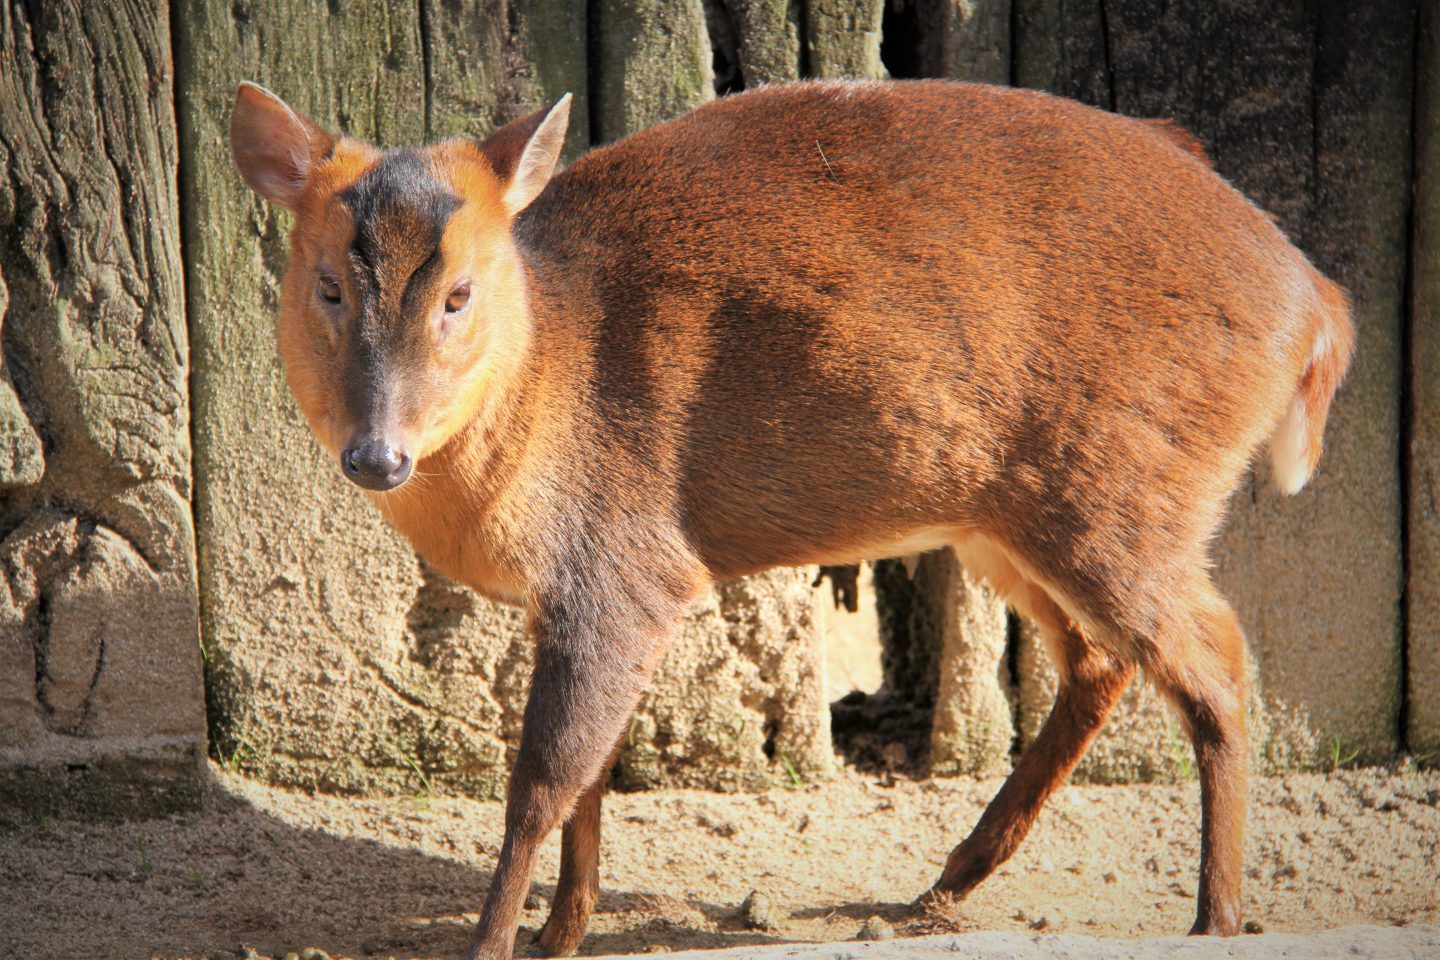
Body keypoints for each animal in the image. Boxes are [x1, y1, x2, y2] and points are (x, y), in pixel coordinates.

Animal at [233, 78, 1347, 955]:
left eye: (460, 293)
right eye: (327, 285)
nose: (377, 454)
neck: (544, 376)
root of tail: (1318, 303)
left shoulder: (627, 560)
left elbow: (545, 779)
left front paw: (498, 945)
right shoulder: (577, 599)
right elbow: (593, 776)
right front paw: (562, 935)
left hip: (1123, 486)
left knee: (1218, 660)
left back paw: (1214, 917)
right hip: (1011, 516)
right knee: (1104, 661)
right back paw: (948, 881)